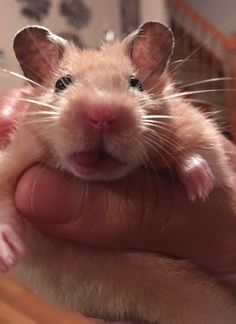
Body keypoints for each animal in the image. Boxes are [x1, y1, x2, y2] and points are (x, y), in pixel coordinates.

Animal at [0, 21, 235, 322]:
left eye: (136, 83)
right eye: (61, 83)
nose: (103, 115)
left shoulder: (197, 130)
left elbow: (194, 152)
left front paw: (200, 189)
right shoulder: (15, 159)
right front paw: (9, 254)